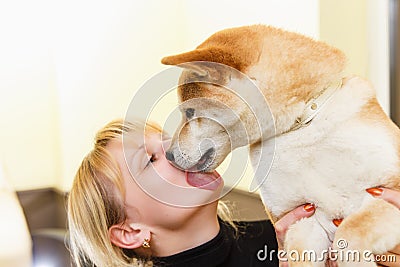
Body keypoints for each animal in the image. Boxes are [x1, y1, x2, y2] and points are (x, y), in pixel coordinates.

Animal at [161, 24, 400, 266]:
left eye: (189, 111)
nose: (168, 155)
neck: (301, 128)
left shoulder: (388, 191)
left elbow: (349, 233)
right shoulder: (302, 221)